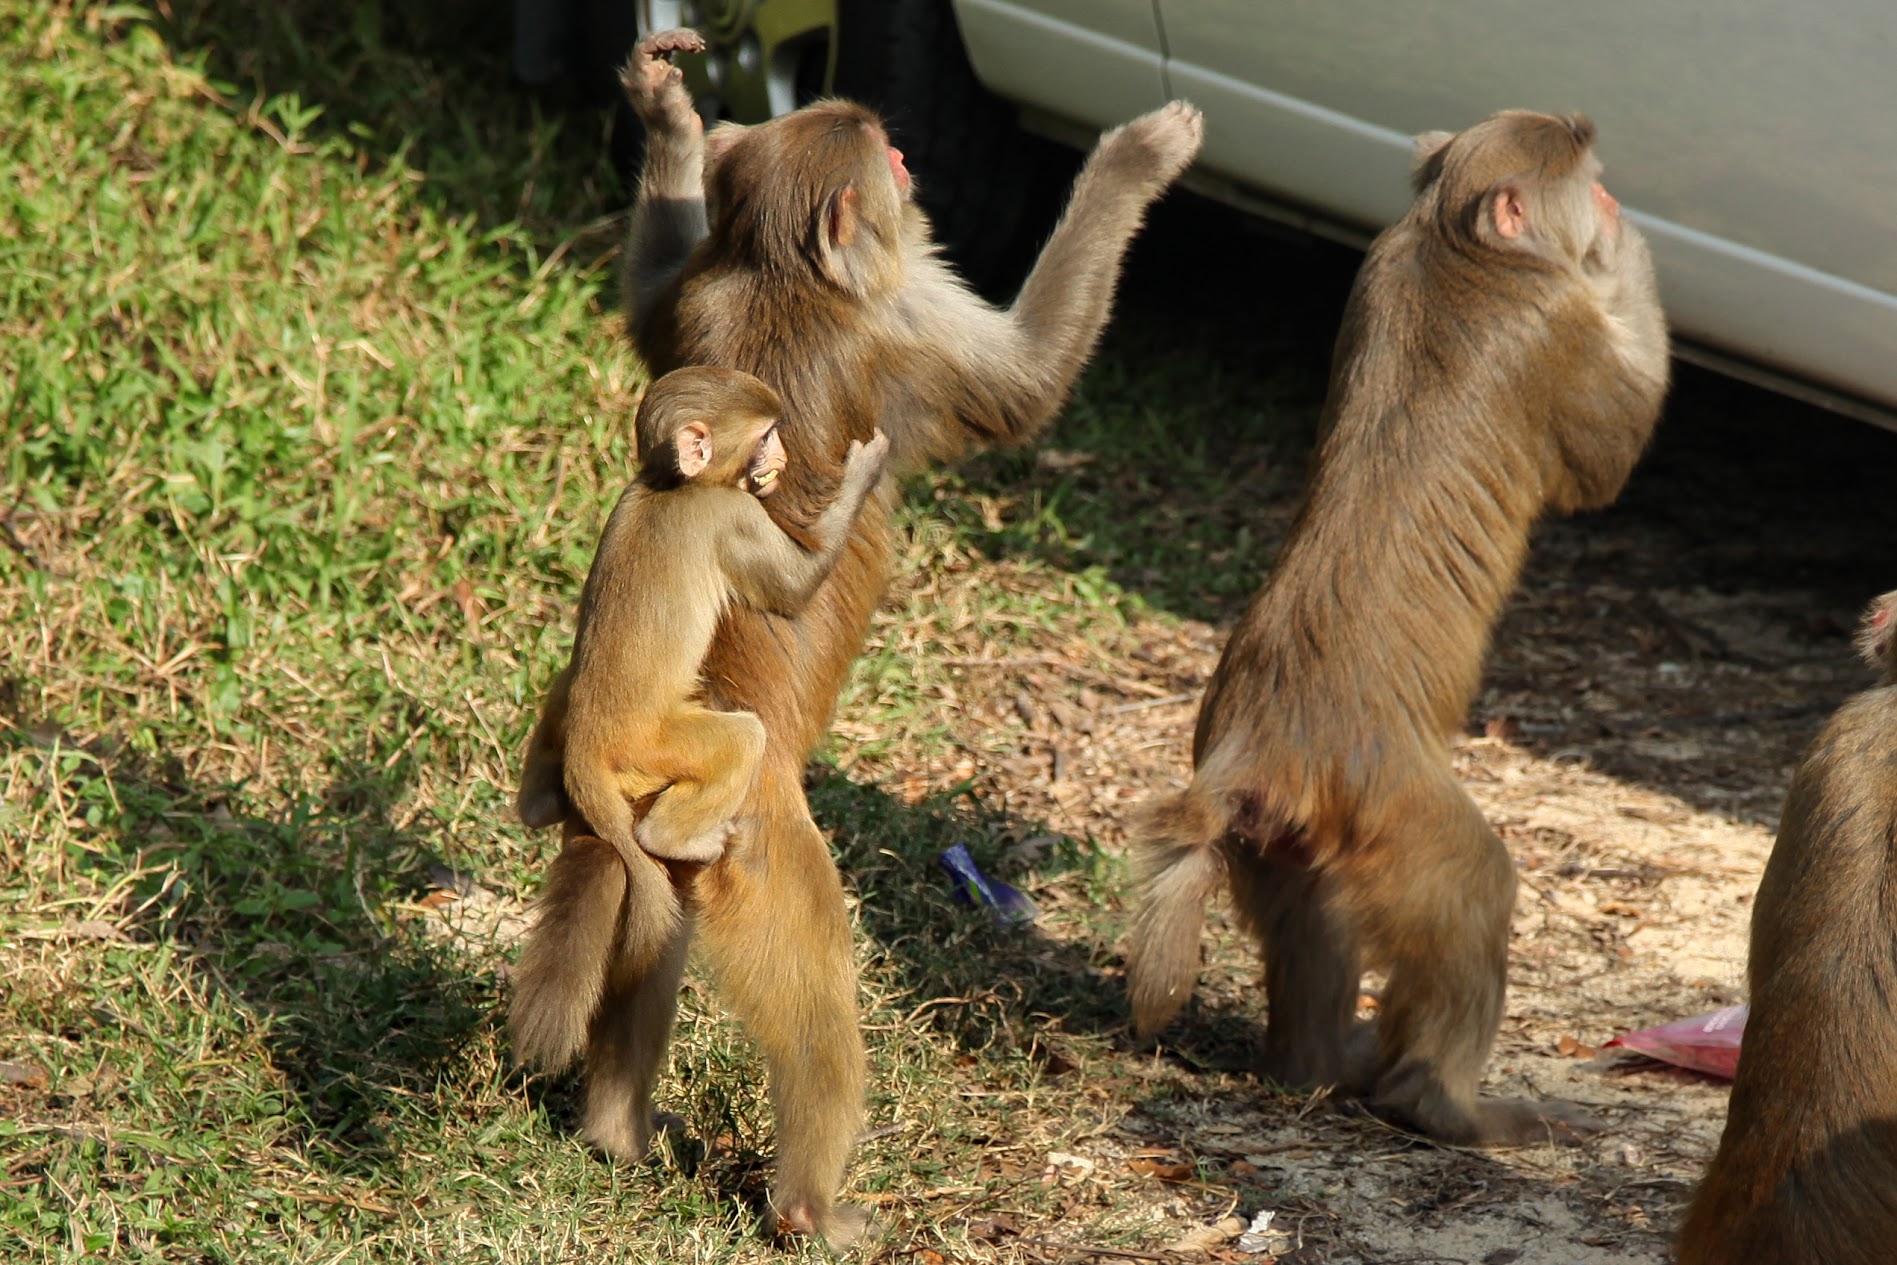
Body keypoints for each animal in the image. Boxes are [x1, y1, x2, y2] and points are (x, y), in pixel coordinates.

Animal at [515, 24, 1198, 1251]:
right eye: (881, 152)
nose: (908, 156)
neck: (785, 273)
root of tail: (613, 761)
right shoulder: (910, 323)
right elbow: (1029, 382)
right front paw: (1136, 155)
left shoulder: (704, 295)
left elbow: (644, 313)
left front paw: (670, 115)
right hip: (762, 841)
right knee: (819, 999)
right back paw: (808, 1203)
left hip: (658, 831)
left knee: (657, 938)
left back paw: (612, 1125)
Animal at [1115, 113, 1669, 1153]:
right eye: (1579, 163)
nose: (1607, 182)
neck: (1453, 243)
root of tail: (1254, 755)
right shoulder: (1555, 327)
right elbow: (1604, 466)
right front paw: (1627, 247)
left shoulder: (1382, 259)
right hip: (1389, 813)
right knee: (1472, 889)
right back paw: (1439, 1102)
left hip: (1288, 843)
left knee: (1312, 929)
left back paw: (1318, 1065)